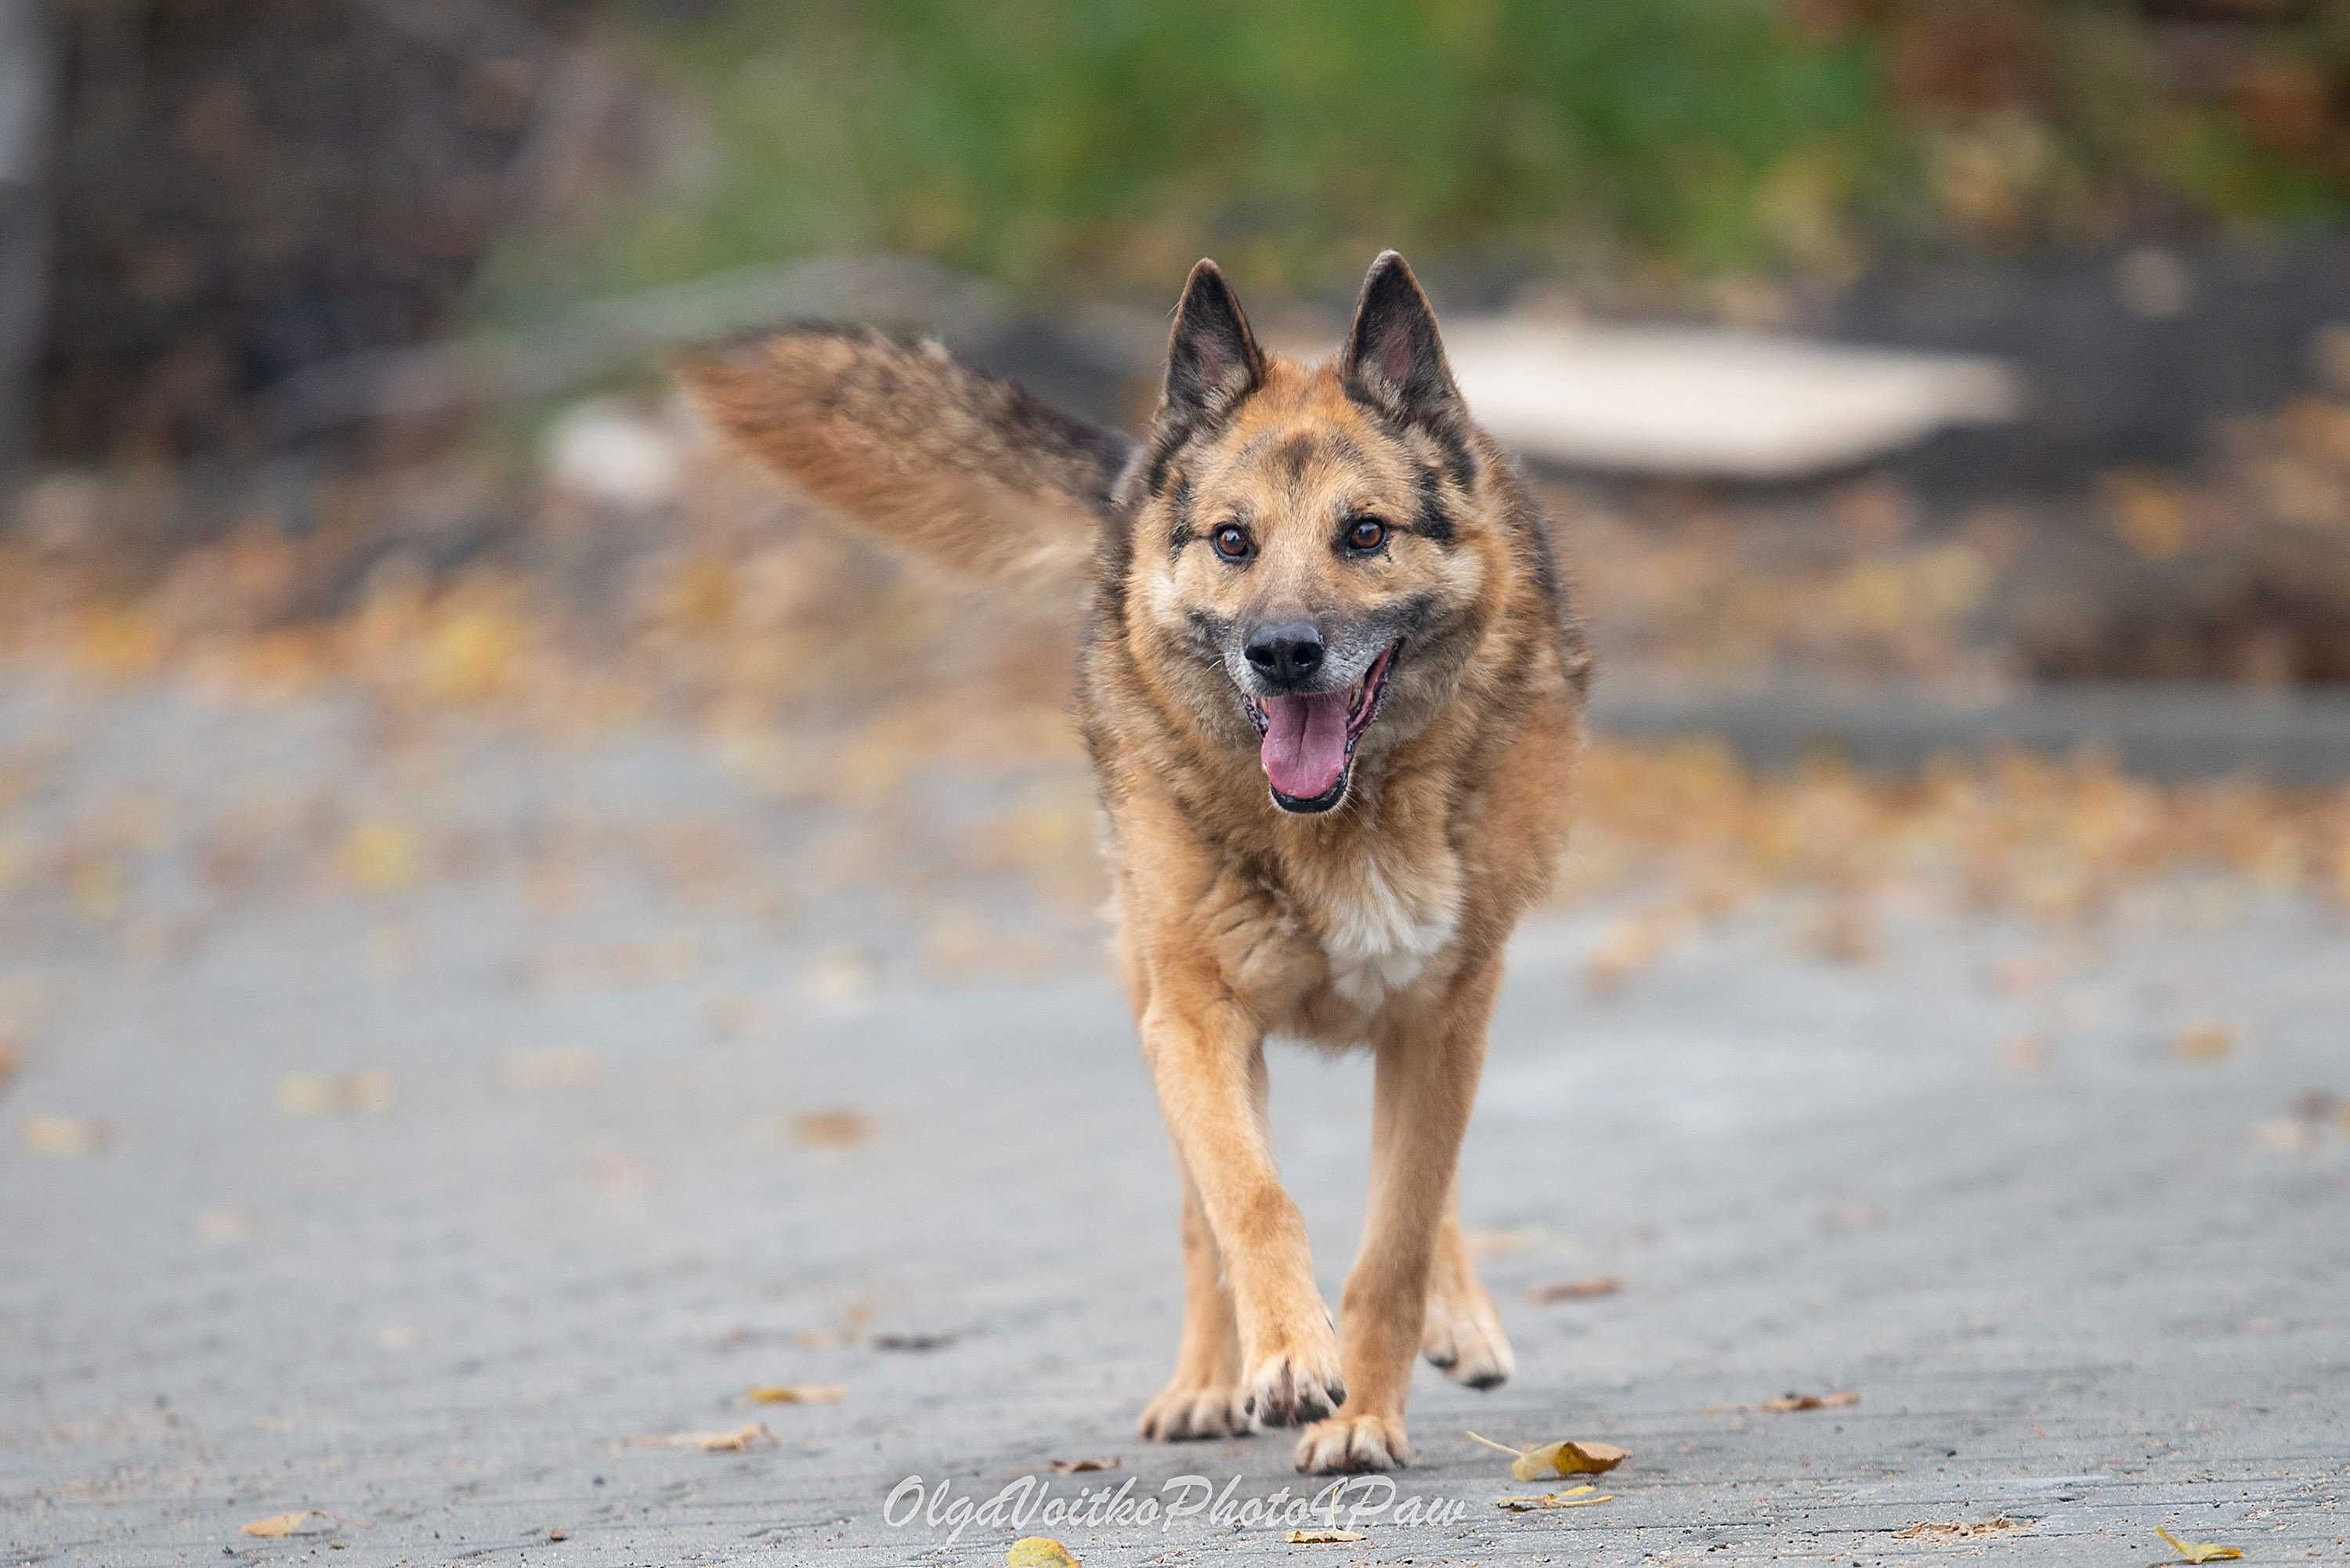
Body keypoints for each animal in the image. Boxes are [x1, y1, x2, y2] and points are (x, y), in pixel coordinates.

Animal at [686, 255, 1598, 1476]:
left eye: (1365, 533)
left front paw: (1366, 1410)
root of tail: (1138, 465)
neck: (1340, 822)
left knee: (1420, 1186)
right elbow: (1251, 1203)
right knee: (1201, 1214)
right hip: (1155, 1002)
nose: (1283, 651)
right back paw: (1210, 1381)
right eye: (1232, 541)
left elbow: (1397, 1236)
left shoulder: (1445, 1015)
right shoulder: (1197, 1018)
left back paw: (1452, 1321)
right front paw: (1289, 1359)